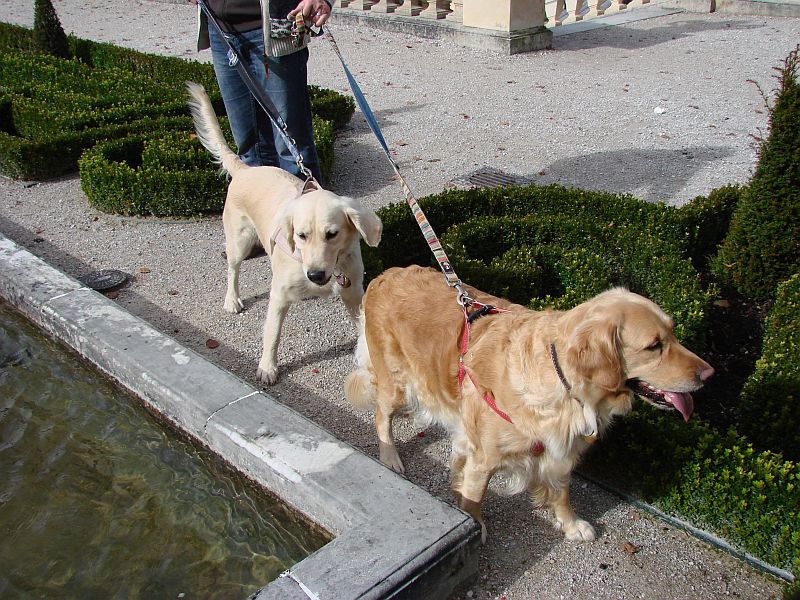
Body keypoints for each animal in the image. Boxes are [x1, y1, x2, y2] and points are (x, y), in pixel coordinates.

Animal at [188, 82, 382, 384]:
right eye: (301, 235)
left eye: (332, 234)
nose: (315, 275)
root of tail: (245, 170)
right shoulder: (279, 295)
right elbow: (272, 333)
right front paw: (267, 367)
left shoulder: (353, 292)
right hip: (239, 241)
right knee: (232, 269)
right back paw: (232, 299)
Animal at [346, 264, 712, 540]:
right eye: (654, 346)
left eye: (673, 333)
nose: (709, 374)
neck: (563, 381)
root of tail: (385, 275)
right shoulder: (484, 458)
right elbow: (474, 498)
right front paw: (475, 527)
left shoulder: (561, 449)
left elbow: (562, 493)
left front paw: (570, 524)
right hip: (396, 383)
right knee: (381, 415)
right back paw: (390, 456)